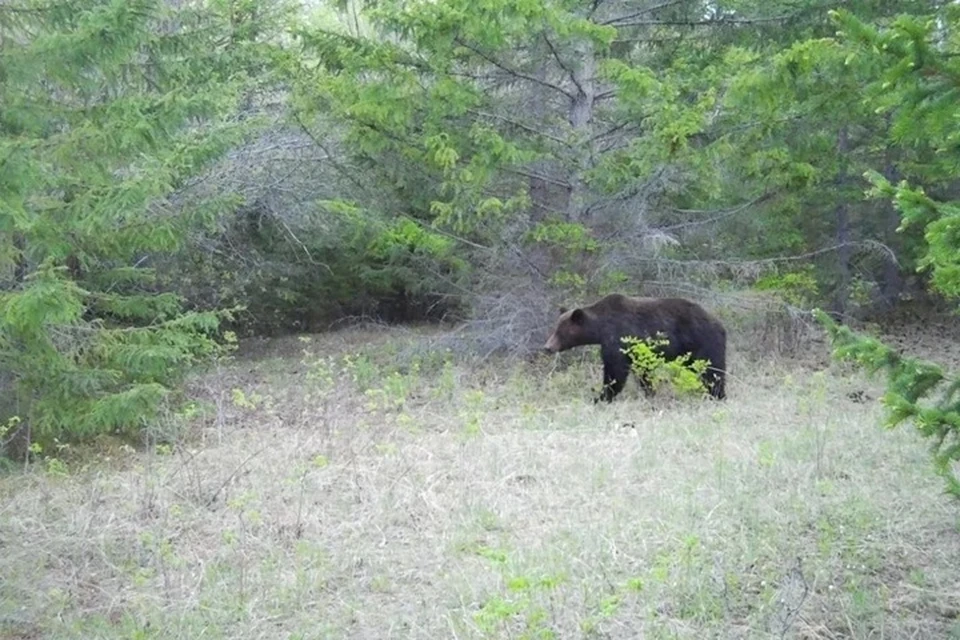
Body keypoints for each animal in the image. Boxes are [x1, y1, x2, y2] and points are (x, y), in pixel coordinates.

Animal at [543, 293, 727, 402]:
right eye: (555, 328)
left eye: (560, 332)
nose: (547, 347)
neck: (600, 328)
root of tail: (719, 323)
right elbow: (643, 372)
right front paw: (650, 393)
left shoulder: (619, 338)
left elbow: (615, 371)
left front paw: (602, 396)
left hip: (703, 341)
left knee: (712, 371)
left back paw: (717, 395)